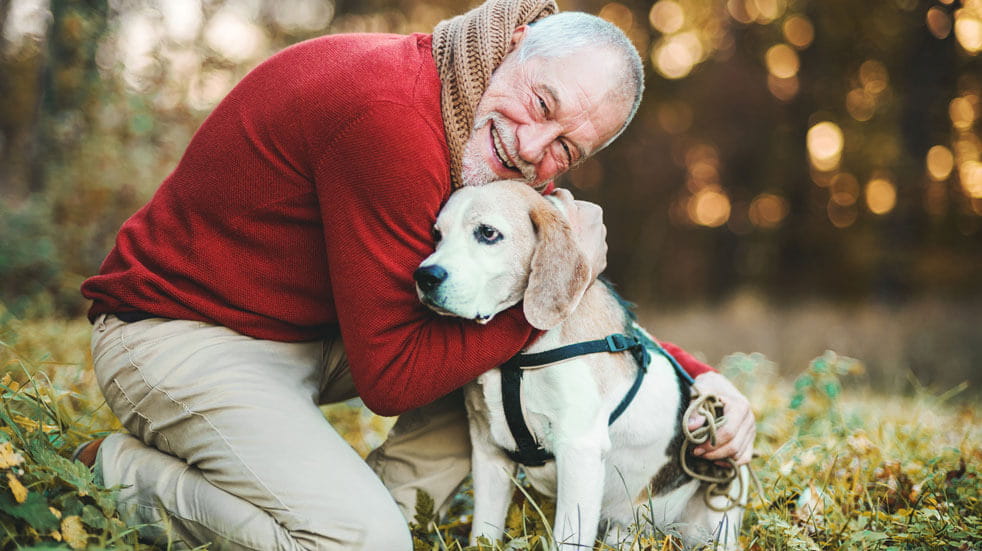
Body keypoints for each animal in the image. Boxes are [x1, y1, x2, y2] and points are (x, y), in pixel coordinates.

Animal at [416, 182, 744, 551]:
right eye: (437, 234)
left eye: (487, 233)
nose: (424, 276)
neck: (520, 357)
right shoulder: (488, 451)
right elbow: (482, 534)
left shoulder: (579, 448)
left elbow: (566, 537)